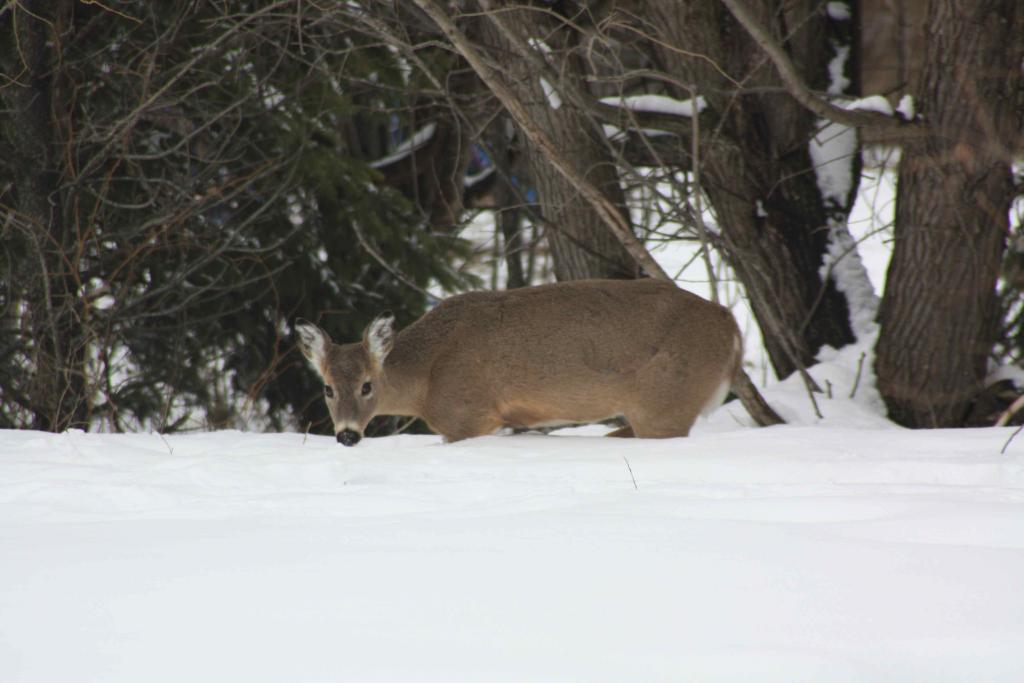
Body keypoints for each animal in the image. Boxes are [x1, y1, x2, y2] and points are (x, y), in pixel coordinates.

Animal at [296, 278, 742, 446]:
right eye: (327, 387)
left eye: (367, 385)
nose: (347, 435)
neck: (427, 380)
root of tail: (732, 326)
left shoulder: (469, 415)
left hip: (665, 402)